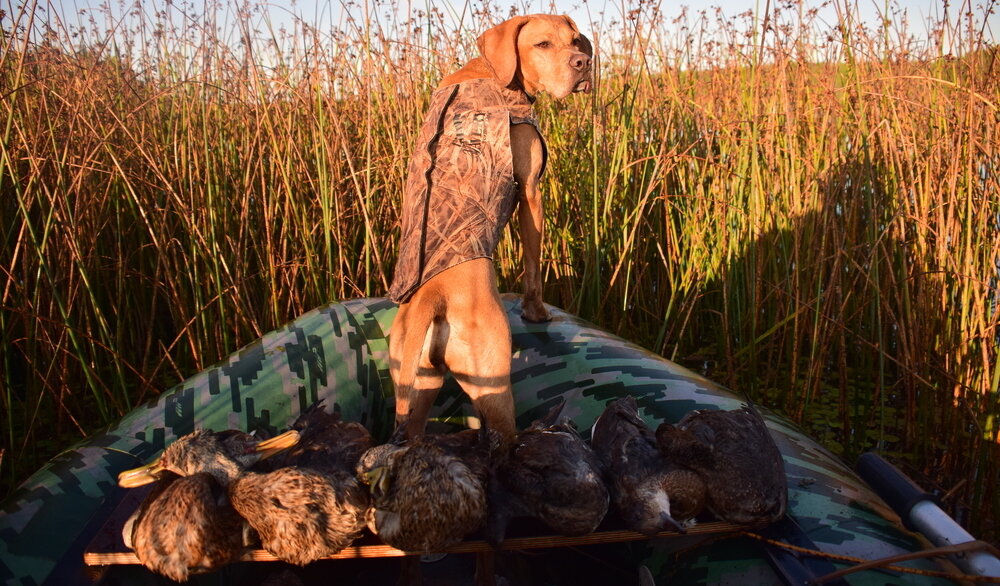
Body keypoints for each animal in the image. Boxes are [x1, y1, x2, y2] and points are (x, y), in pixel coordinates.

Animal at [384, 13, 588, 442]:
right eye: (542, 44)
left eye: (576, 40)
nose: (584, 63)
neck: (493, 71)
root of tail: (432, 298)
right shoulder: (530, 191)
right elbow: (533, 266)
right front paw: (536, 312)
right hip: (495, 387)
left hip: (418, 385)